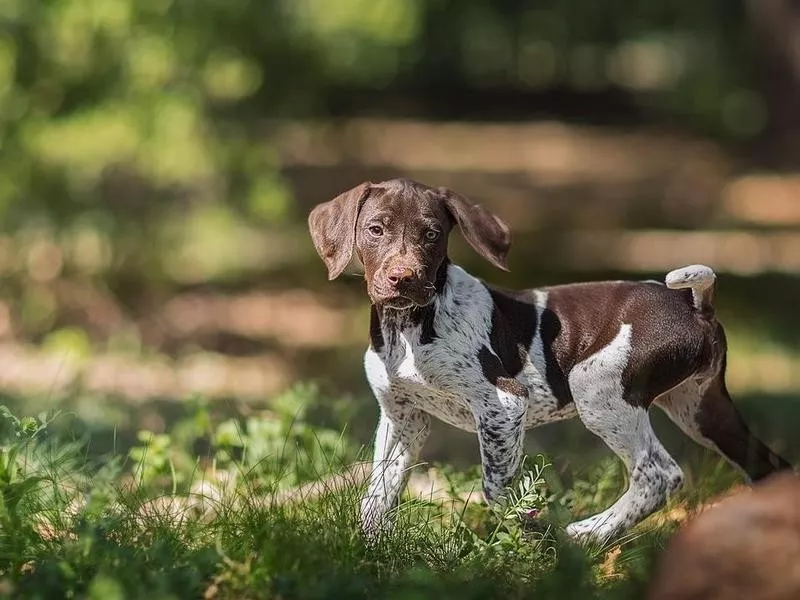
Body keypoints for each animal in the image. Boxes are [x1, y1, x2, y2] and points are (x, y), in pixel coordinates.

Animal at [306, 178, 788, 544]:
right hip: (701, 407)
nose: (402, 279)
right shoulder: (402, 417)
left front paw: (528, 538)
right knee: (768, 465)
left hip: (598, 387)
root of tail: (694, 306)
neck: (407, 328)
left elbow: (497, 489)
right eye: (375, 229)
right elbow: (377, 494)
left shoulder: (502, 405)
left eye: (431, 234)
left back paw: (587, 534)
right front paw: (370, 550)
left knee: (659, 474)